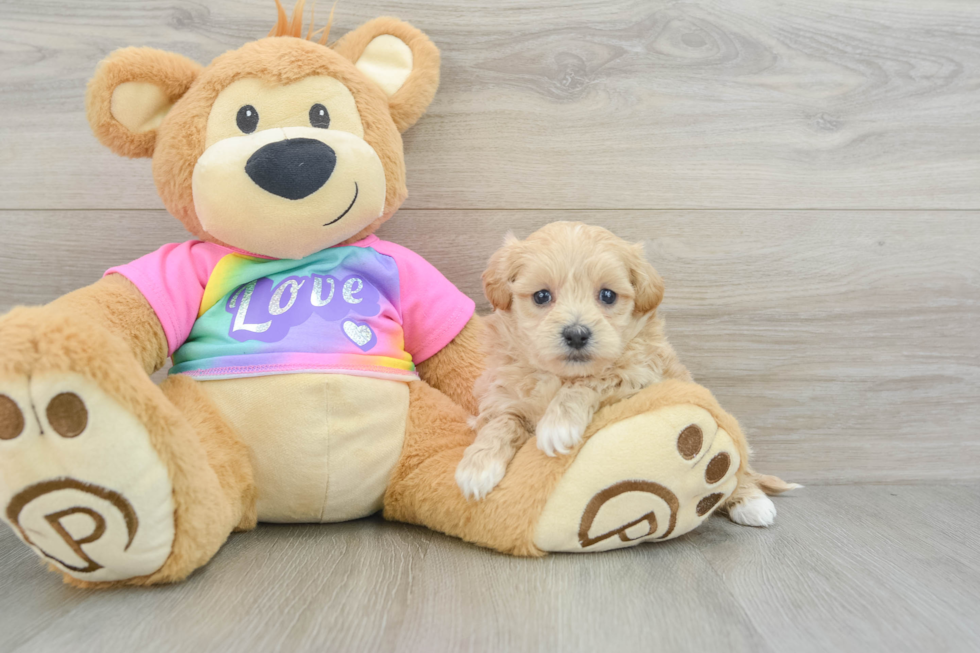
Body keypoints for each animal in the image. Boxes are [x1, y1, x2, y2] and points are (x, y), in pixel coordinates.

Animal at [456, 222, 792, 528]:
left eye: (607, 295)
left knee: (739, 468)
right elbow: (502, 423)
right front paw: (477, 466)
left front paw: (558, 424)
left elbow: (596, 379)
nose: (576, 334)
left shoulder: (639, 375)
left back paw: (752, 501)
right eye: (541, 296)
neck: (562, 375)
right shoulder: (504, 396)